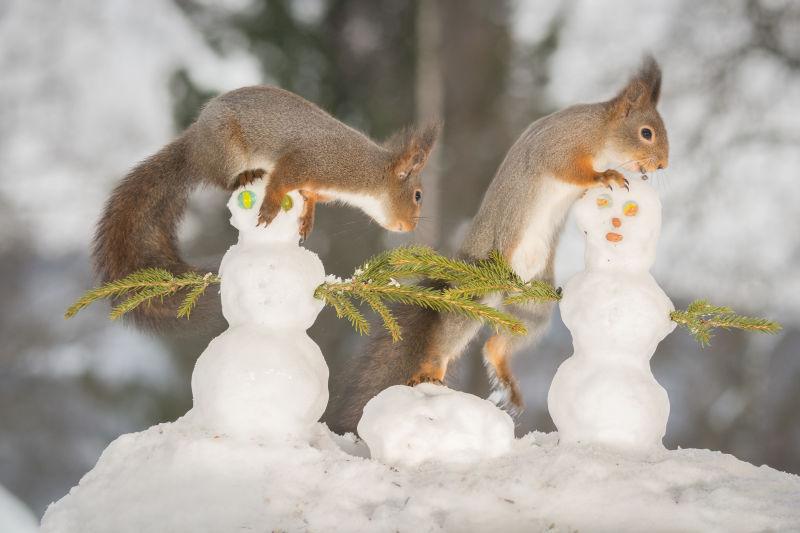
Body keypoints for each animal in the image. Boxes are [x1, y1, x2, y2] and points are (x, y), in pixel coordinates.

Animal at [324, 56, 668, 434]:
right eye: (647, 132)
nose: (663, 165)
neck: (600, 131)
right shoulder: (561, 146)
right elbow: (572, 170)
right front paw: (606, 175)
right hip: (479, 291)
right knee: (447, 338)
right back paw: (431, 368)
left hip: (534, 304)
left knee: (495, 343)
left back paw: (506, 377)